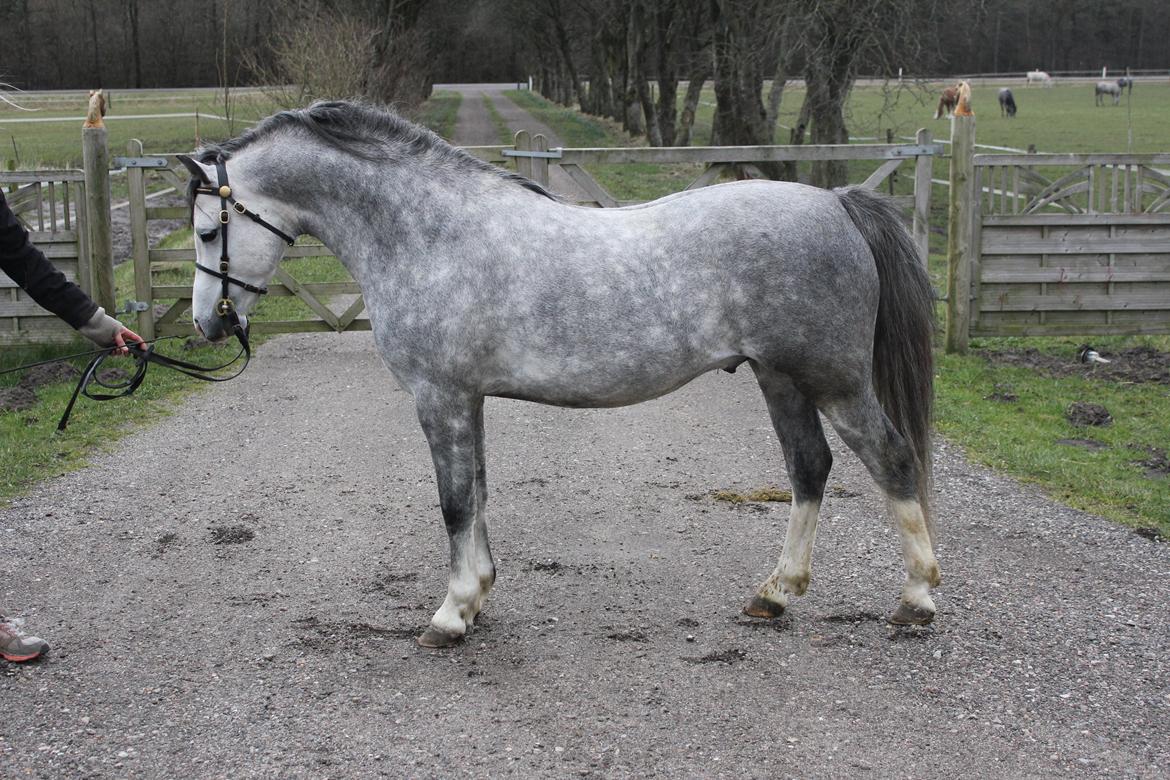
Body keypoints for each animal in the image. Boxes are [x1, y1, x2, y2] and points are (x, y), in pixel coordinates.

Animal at [176, 101, 940, 648]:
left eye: (208, 231)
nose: (207, 324)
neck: (429, 236)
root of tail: (836, 202)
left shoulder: (440, 398)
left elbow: (454, 502)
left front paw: (450, 615)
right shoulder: (468, 400)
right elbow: (478, 494)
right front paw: (477, 597)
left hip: (834, 381)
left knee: (892, 459)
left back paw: (916, 600)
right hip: (779, 378)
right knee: (809, 469)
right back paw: (774, 595)